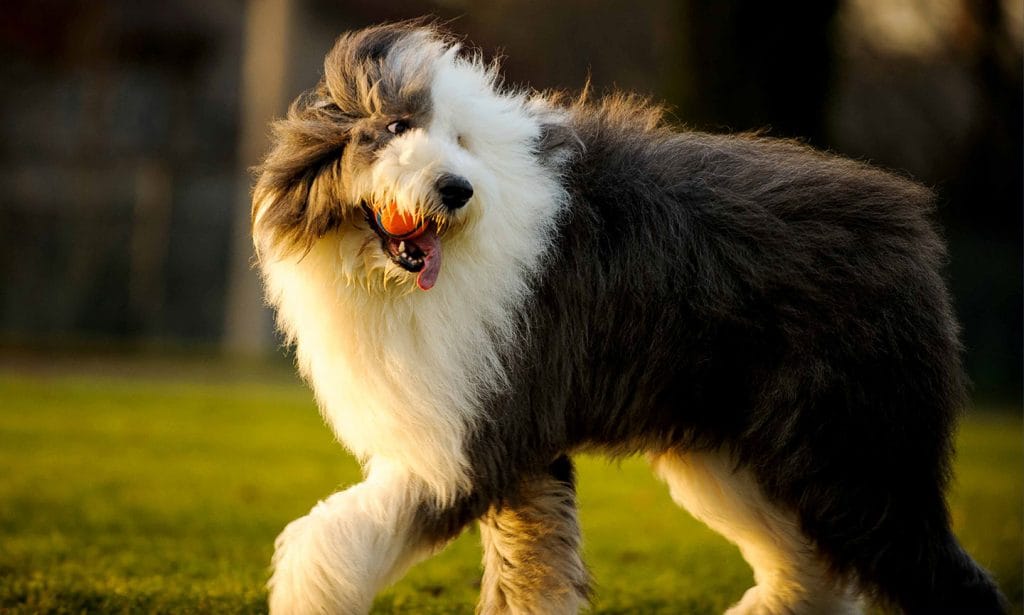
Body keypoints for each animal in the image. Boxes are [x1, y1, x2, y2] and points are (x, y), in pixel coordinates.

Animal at [249, 19, 1007, 613]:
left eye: (459, 140)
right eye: (396, 127)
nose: (456, 189)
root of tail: (906, 221)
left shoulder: (477, 436)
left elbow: (339, 535)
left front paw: (303, 590)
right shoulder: (517, 441)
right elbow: (535, 568)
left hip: (856, 449)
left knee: (935, 571)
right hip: (745, 449)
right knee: (811, 568)